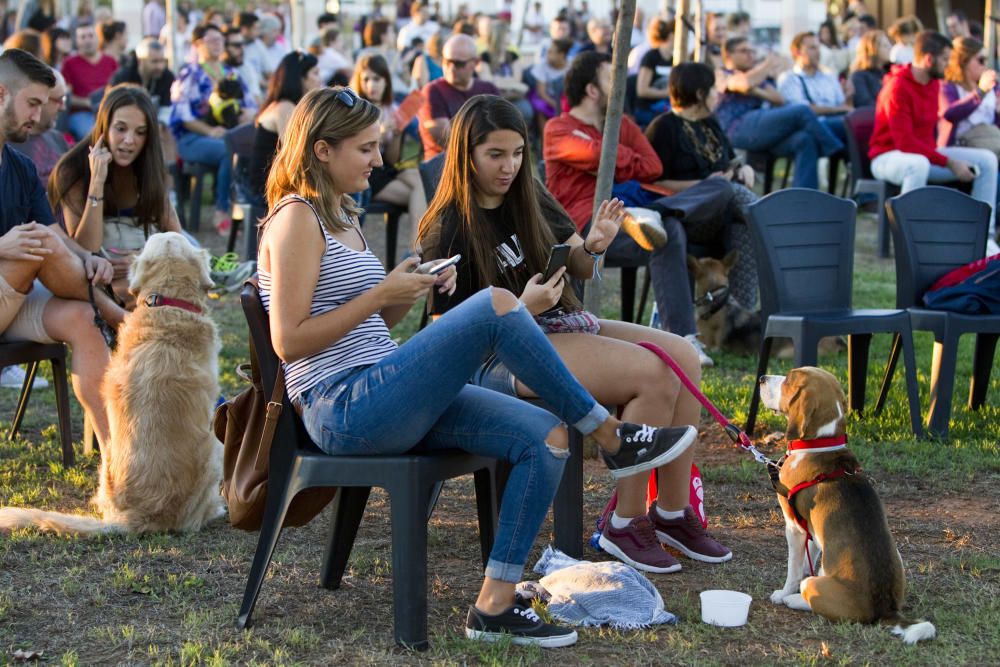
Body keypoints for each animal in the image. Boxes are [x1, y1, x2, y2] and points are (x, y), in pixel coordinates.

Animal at [760, 368, 932, 644]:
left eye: (788, 380)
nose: (762, 378)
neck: (819, 444)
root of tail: (885, 609)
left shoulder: (793, 528)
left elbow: (794, 569)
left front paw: (783, 592)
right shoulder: (811, 531)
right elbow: (810, 557)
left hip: (816, 585)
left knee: (811, 595)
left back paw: (793, 599)